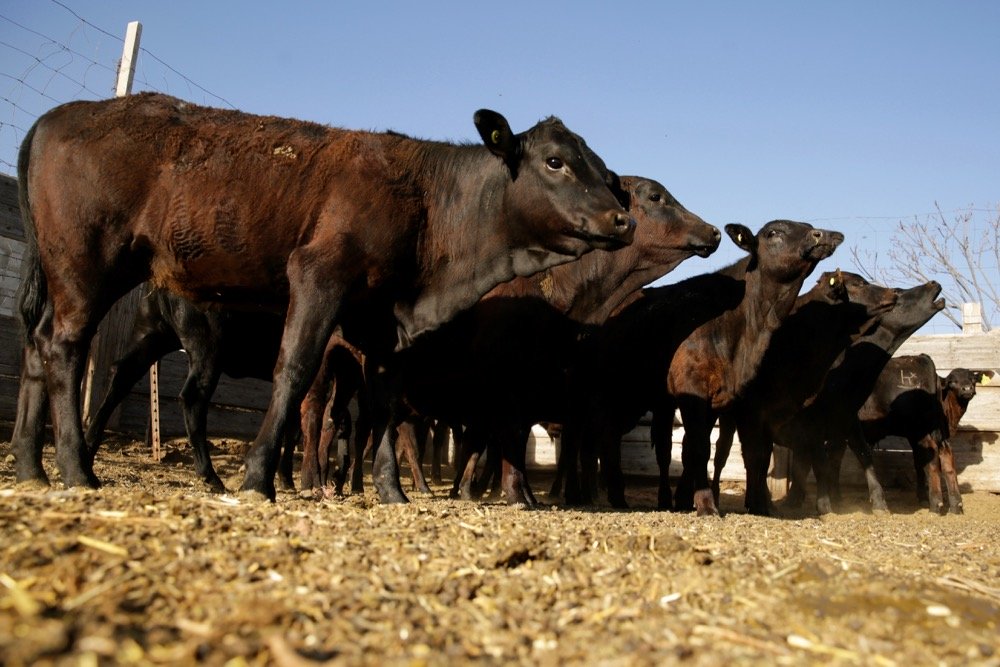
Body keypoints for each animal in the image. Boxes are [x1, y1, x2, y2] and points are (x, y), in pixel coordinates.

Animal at [12, 92, 634, 502]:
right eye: (555, 161)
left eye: (603, 169)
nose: (622, 220)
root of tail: (57, 116)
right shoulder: (319, 274)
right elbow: (294, 371)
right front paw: (259, 478)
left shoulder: (383, 318)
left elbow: (384, 404)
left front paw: (390, 492)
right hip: (87, 264)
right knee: (66, 348)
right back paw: (75, 469)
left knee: (39, 347)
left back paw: (29, 467)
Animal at [560, 220, 844, 516]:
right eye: (773, 232)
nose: (822, 235)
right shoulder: (693, 389)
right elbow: (698, 448)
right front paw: (706, 503)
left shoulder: (718, 398)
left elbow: (696, 450)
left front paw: (686, 499)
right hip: (583, 390)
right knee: (576, 438)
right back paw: (577, 494)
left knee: (608, 438)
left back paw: (617, 496)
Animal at [709, 270, 898, 515]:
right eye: (858, 284)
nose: (893, 293)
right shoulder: (759, 413)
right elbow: (760, 456)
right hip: (728, 416)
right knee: (722, 453)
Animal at [778, 281, 945, 514]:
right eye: (898, 291)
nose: (933, 283)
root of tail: (922, 358)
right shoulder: (817, 423)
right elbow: (816, 461)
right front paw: (816, 501)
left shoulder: (846, 420)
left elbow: (856, 455)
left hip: (919, 428)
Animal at [858, 354, 994, 514]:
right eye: (952, 382)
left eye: (973, 379)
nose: (967, 389)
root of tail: (922, 358)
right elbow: (919, 462)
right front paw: (922, 496)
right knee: (944, 453)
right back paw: (954, 504)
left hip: (921, 429)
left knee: (935, 453)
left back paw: (938, 503)